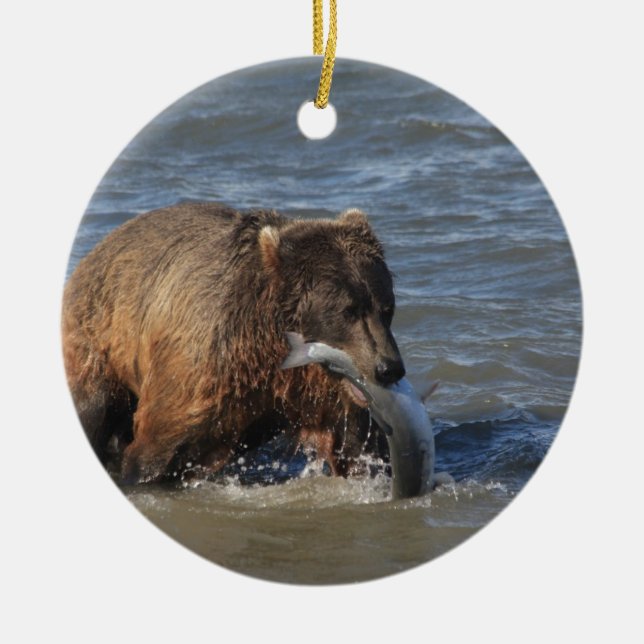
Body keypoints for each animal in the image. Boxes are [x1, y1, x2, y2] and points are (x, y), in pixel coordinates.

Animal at [62, 203, 406, 484]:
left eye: (386, 307)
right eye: (348, 311)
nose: (388, 367)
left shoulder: (325, 393)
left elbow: (355, 449)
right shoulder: (203, 367)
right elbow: (156, 451)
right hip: (95, 335)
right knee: (93, 406)